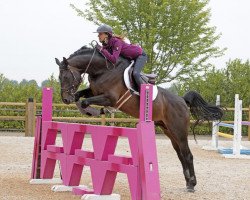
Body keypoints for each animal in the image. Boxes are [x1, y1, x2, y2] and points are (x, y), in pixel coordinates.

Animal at [54, 45, 223, 192]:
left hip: (179, 130)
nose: (65, 100)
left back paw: (192, 185)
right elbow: (80, 96)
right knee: (180, 154)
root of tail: (182, 100)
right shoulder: (93, 91)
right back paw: (188, 182)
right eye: (59, 77)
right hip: (168, 130)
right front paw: (86, 107)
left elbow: (85, 101)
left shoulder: (110, 98)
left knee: (187, 154)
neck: (102, 69)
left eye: (66, 76)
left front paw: (95, 111)